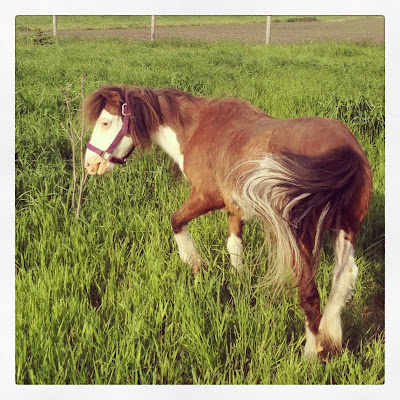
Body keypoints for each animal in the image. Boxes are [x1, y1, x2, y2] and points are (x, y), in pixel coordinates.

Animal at [83, 85, 372, 360]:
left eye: (106, 122)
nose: (90, 164)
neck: (196, 128)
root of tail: (346, 150)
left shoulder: (205, 197)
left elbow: (176, 222)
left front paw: (195, 264)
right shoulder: (234, 209)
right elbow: (234, 248)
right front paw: (239, 286)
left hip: (299, 239)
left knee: (309, 291)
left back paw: (311, 354)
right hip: (344, 229)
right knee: (344, 278)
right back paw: (331, 335)